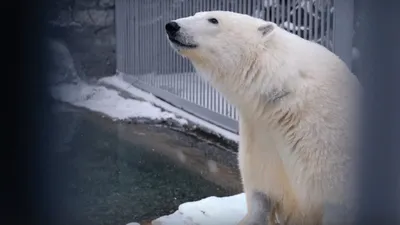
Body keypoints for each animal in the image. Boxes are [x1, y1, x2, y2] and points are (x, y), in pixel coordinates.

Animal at [165, 11, 362, 225]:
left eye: (213, 19)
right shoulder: (261, 131)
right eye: (196, 14)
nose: (172, 26)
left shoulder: (326, 142)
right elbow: (261, 190)